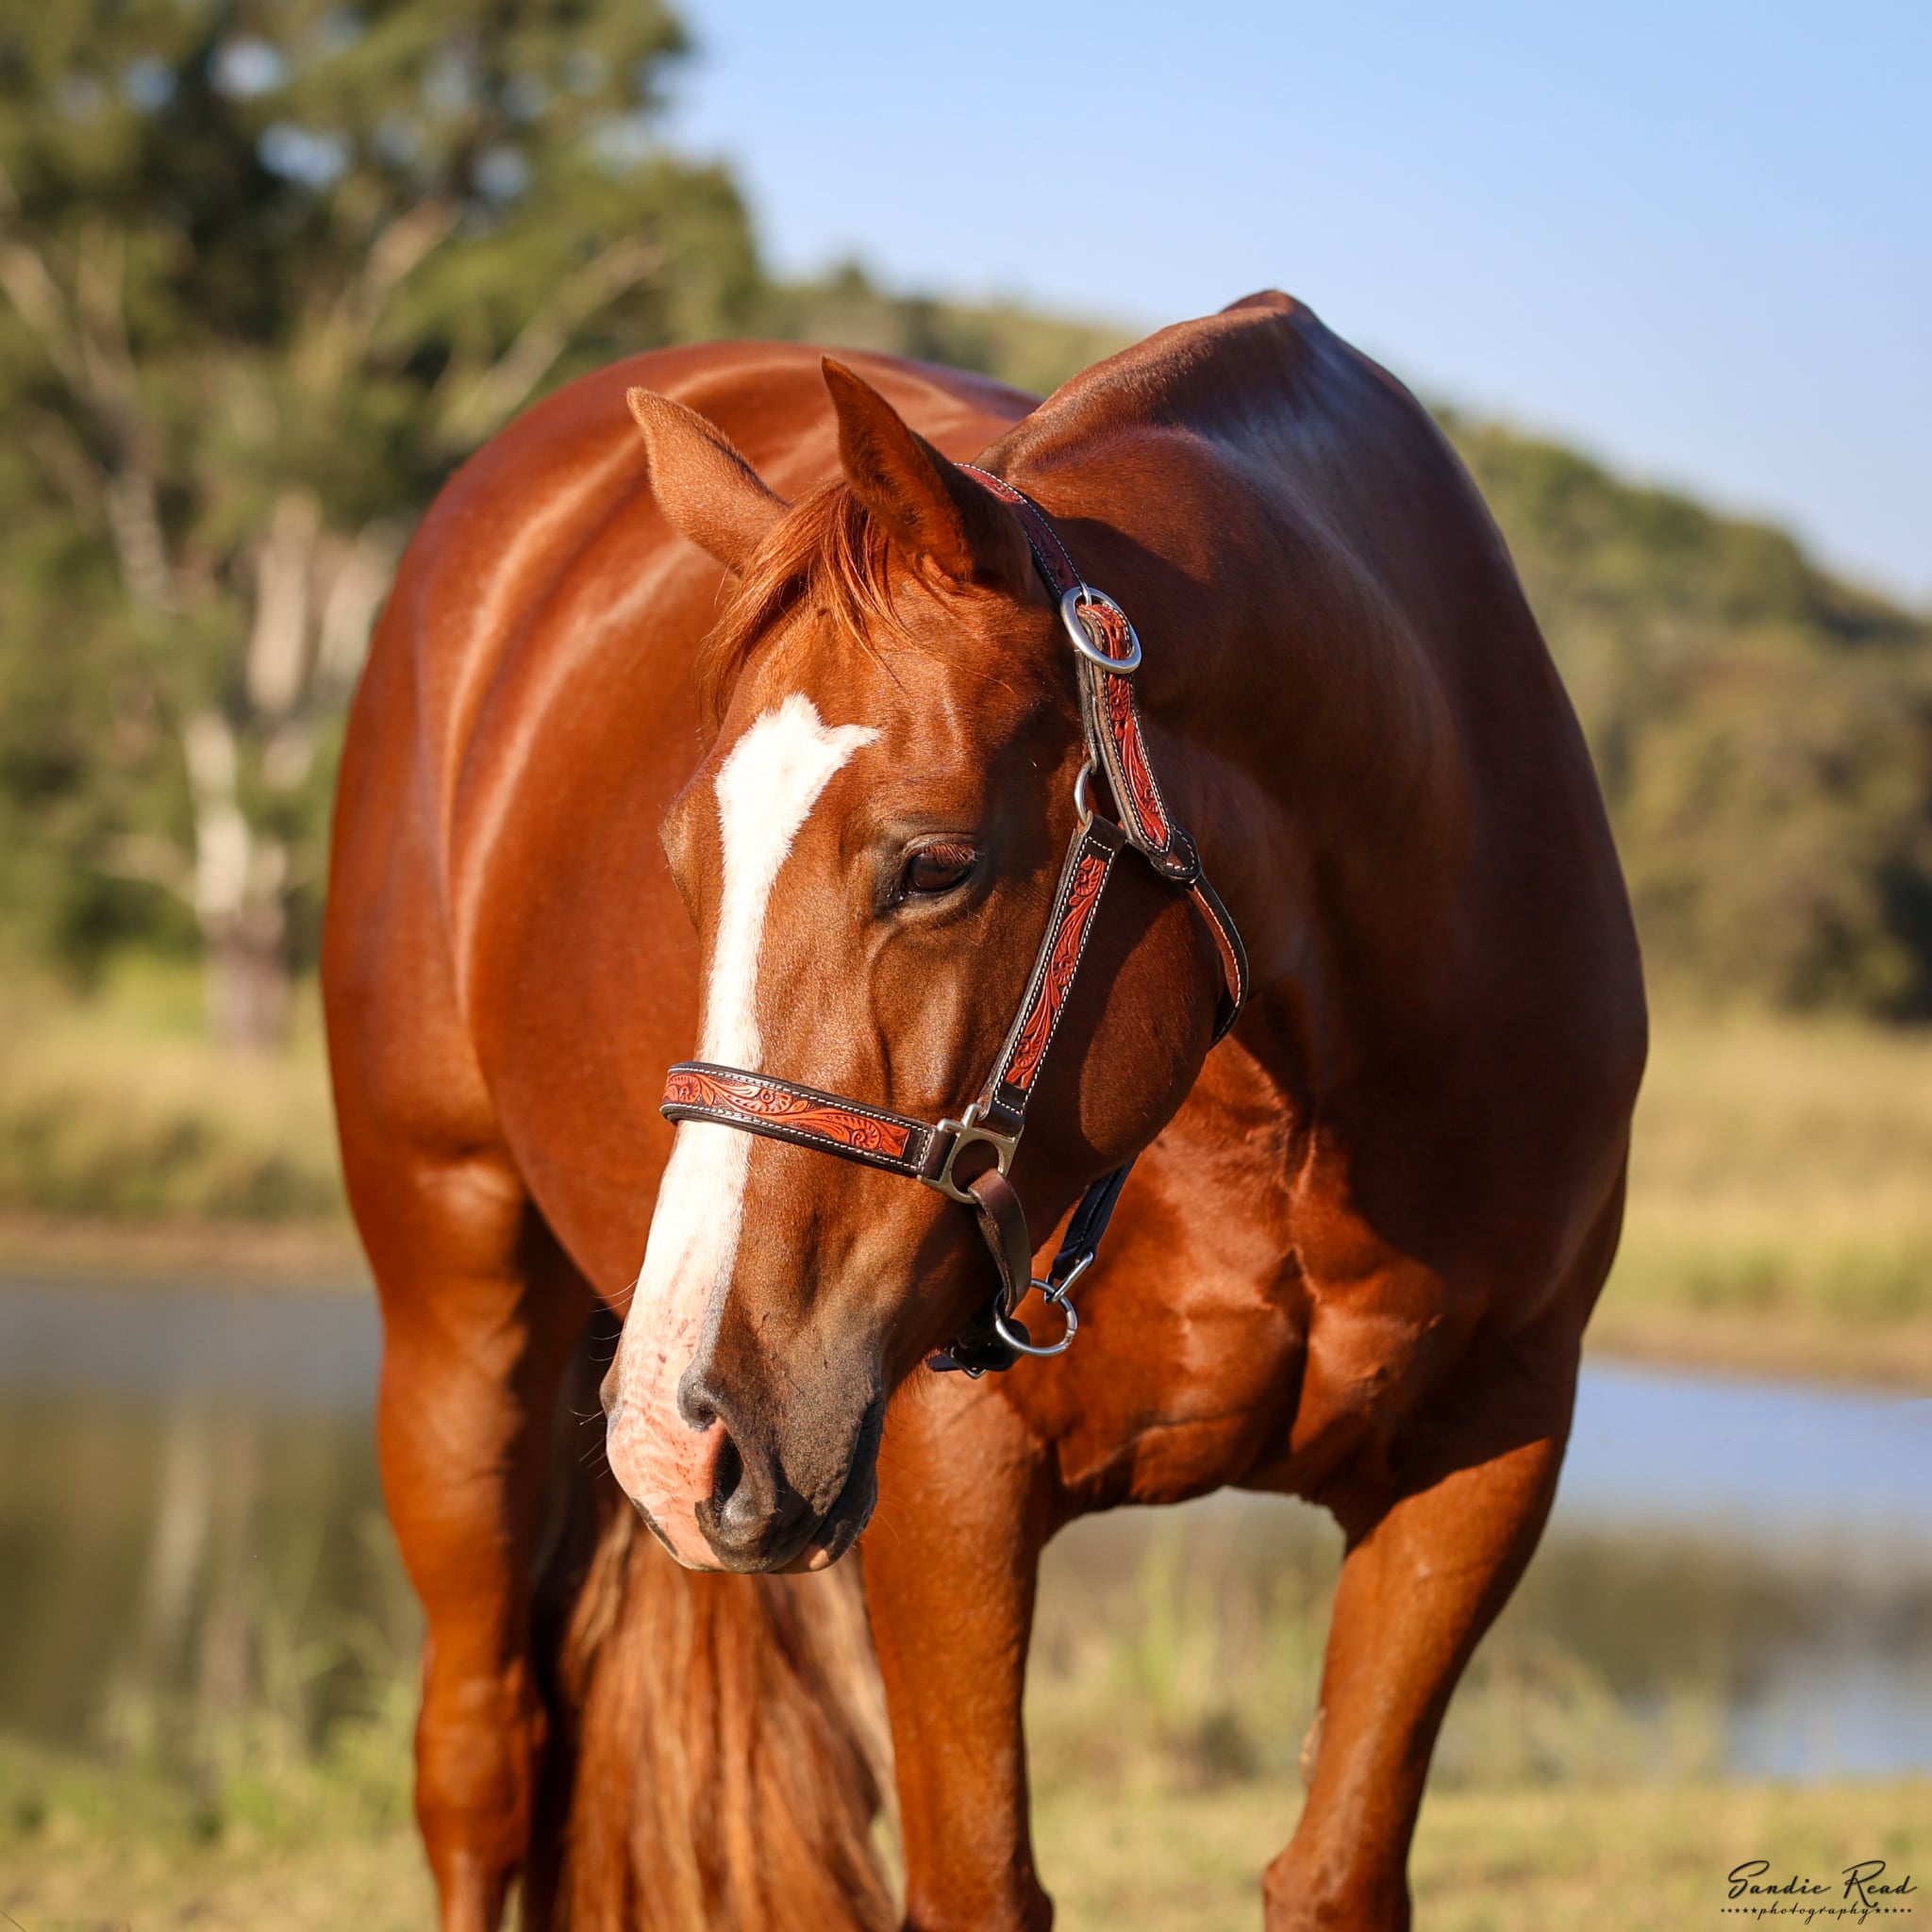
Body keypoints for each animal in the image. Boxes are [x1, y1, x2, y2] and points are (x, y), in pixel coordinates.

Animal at [323, 290, 1646, 1931]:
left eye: (937, 864)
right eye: (682, 860)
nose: (674, 1435)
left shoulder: (1484, 1464)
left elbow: (1337, 1873)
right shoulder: (952, 1491)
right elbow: (975, 1880)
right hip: (456, 1314)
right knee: (481, 1765)